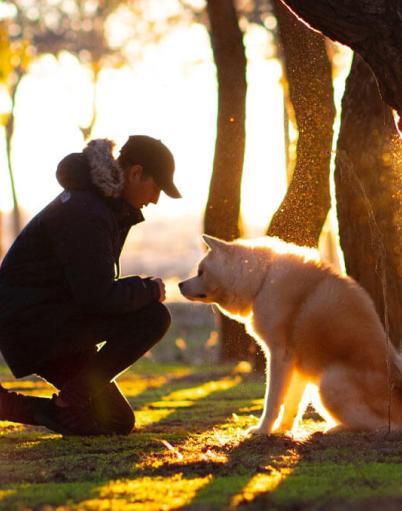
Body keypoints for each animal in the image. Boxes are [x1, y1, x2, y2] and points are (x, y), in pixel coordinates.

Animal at [180, 236, 402, 436]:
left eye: (200, 272)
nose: (180, 284)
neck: (263, 279)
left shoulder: (279, 356)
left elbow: (272, 401)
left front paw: (263, 430)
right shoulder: (298, 365)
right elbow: (292, 405)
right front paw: (283, 430)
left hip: (327, 383)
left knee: (383, 425)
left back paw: (337, 428)